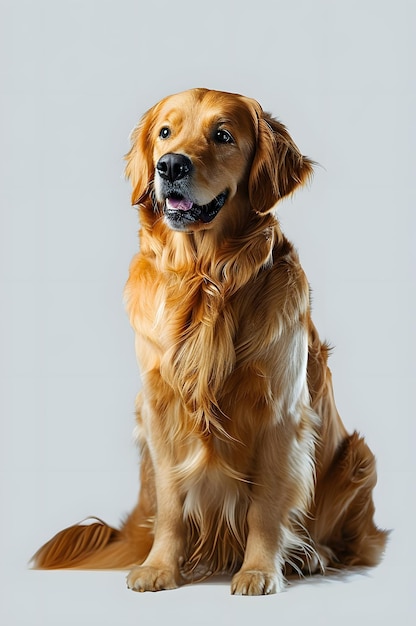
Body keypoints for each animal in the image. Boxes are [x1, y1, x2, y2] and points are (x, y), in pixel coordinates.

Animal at [34, 86, 388, 588]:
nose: (170, 166)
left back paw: (310, 555)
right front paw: (160, 568)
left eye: (222, 136)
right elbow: (171, 505)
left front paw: (259, 570)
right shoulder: (160, 410)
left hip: (360, 456)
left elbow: (266, 505)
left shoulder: (280, 411)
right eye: (165, 132)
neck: (204, 280)